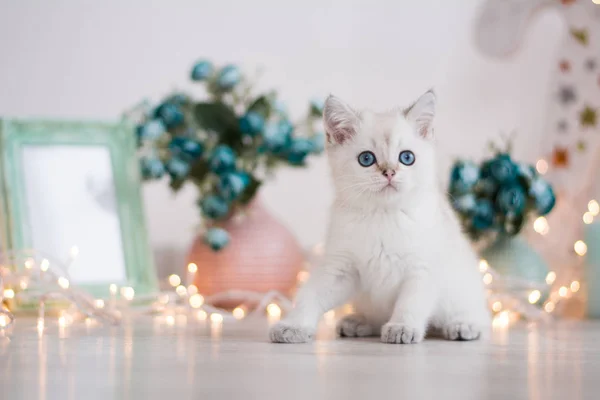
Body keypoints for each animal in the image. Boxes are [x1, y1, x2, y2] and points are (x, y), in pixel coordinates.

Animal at [270, 90, 490, 344]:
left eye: (407, 158)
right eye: (366, 159)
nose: (389, 172)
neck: (382, 215)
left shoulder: (422, 269)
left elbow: (410, 304)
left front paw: (402, 327)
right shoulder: (339, 268)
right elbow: (310, 295)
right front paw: (293, 325)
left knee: (478, 317)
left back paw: (464, 325)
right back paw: (358, 323)